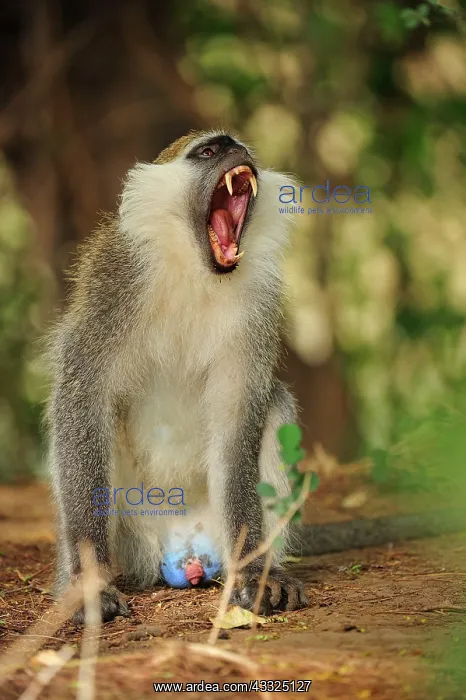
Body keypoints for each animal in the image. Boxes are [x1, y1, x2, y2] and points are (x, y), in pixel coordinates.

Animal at [47, 130, 309, 622]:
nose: (239, 154)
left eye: (239, 146)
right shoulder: (117, 277)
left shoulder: (259, 302)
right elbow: (83, 395)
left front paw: (253, 573)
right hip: (135, 533)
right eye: (209, 151)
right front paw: (89, 583)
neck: (197, 270)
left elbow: (238, 417)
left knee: (276, 403)